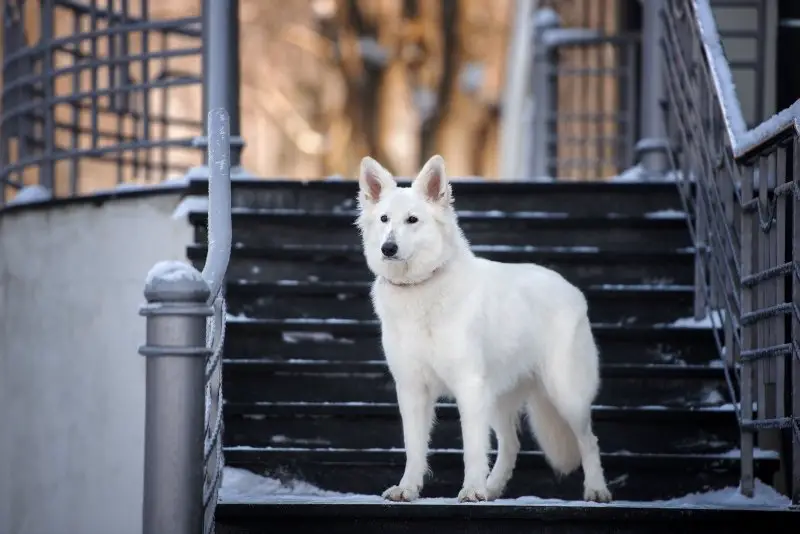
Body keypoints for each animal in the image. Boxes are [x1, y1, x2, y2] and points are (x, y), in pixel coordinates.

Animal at [356, 155, 612, 506]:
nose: (388, 248)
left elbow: (473, 447)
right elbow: (415, 447)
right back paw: (492, 489)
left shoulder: (469, 385)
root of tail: (569, 287)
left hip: (566, 395)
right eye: (384, 219)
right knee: (511, 444)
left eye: (412, 220)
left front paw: (471, 489)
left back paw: (596, 489)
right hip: (498, 398)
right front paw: (408, 488)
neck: (421, 287)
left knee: (589, 440)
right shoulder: (411, 389)